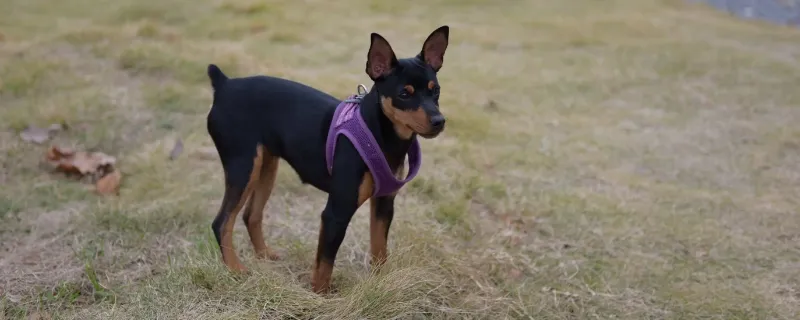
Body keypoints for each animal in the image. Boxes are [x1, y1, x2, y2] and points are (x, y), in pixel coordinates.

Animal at [205, 26, 450, 294]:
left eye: (436, 90)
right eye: (404, 94)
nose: (439, 121)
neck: (379, 133)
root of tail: (225, 85)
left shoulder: (384, 204)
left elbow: (379, 251)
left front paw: (381, 285)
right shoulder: (336, 213)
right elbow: (325, 263)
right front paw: (320, 296)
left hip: (266, 166)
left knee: (251, 215)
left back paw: (265, 255)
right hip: (243, 166)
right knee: (222, 222)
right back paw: (235, 269)